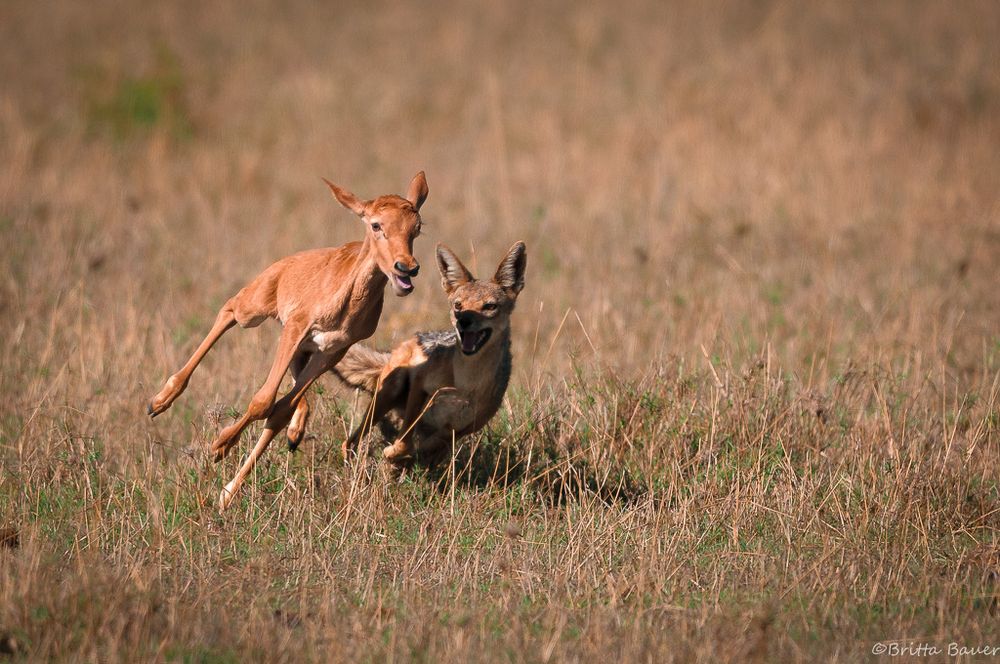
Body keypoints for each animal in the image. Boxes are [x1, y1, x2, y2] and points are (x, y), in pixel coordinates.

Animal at [146, 171, 428, 508]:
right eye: (375, 224)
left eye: (417, 227)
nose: (406, 268)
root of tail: (287, 261)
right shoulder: (295, 328)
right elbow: (263, 401)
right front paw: (219, 446)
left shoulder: (332, 351)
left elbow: (277, 411)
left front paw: (227, 491)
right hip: (255, 311)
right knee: (228, 309)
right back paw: (159, 401)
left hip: (304, 352)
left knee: (291, 398)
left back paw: (294, 433)